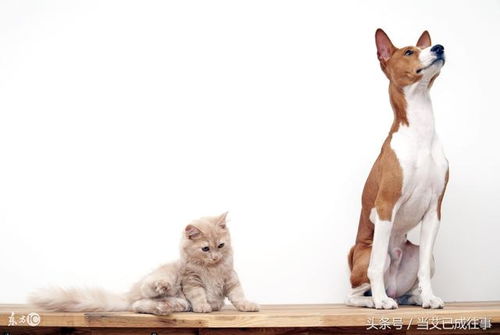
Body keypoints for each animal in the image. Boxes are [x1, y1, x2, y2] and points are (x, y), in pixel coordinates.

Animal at [29, 213, 260, 316]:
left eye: (220, 245)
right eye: (205, 249)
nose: (214, 257)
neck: (211, 269)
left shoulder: (231, 279)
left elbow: (238, 295)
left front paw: (247, 305)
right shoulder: (191, 280)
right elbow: (199, 295)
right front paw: (204, 306)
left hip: (180, 302)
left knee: (140, 305)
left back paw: (162, 308)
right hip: (167, 278)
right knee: (144, 296)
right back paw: (161, 289)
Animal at [348, 30, 450, 312]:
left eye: (425, 47)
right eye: (408, 52)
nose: (439, 47)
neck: (420, 132)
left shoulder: (434, 210)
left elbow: (424, 269)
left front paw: (429, 298)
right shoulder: (385, 205)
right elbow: (374, 268)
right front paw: (380, 301)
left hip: (423, 255)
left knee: (408, 286)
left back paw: (412, 297)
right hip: (367, 253)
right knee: (356, 291)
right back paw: (375, 299)